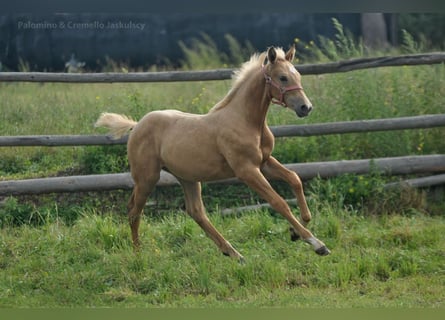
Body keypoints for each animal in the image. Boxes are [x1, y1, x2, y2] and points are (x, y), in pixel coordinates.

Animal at [95, 47, 328, 262]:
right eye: (282, 77)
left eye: (298, 75)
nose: (306, 107)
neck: (246, 120)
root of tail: (136, 126)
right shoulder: (246, 170)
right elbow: (278, 202)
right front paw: (316, 243)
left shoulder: (264, 162)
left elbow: (294, 179)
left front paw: (296, 232)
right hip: (147, 177)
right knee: (134, 210)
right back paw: (138, 254)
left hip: (187, 178)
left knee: (196, 211)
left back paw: (234, 254)